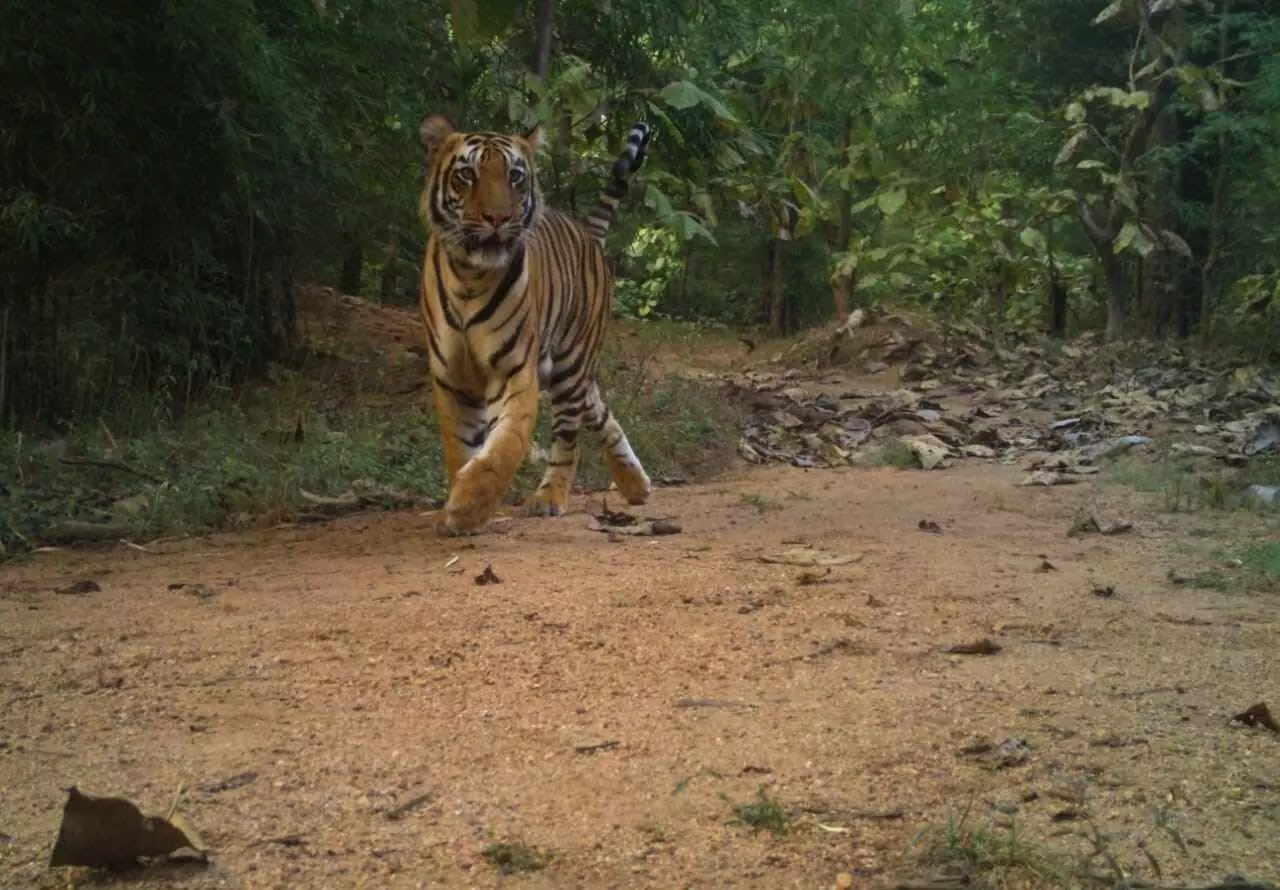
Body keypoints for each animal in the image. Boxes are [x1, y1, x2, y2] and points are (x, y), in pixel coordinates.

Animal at [419, 116, 655, 535]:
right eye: (467, 174)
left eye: (514, 176)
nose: (498, 218)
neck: (469, 277)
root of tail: (586, 232)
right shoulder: (451, 377)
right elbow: (458, 445)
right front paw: (456, 507)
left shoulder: (513, 371)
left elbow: (507, 444)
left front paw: (469, 503)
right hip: (575, 377)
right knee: (604, 417)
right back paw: (635, 485)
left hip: (570, 367)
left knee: (568, 437)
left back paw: (550, 496)